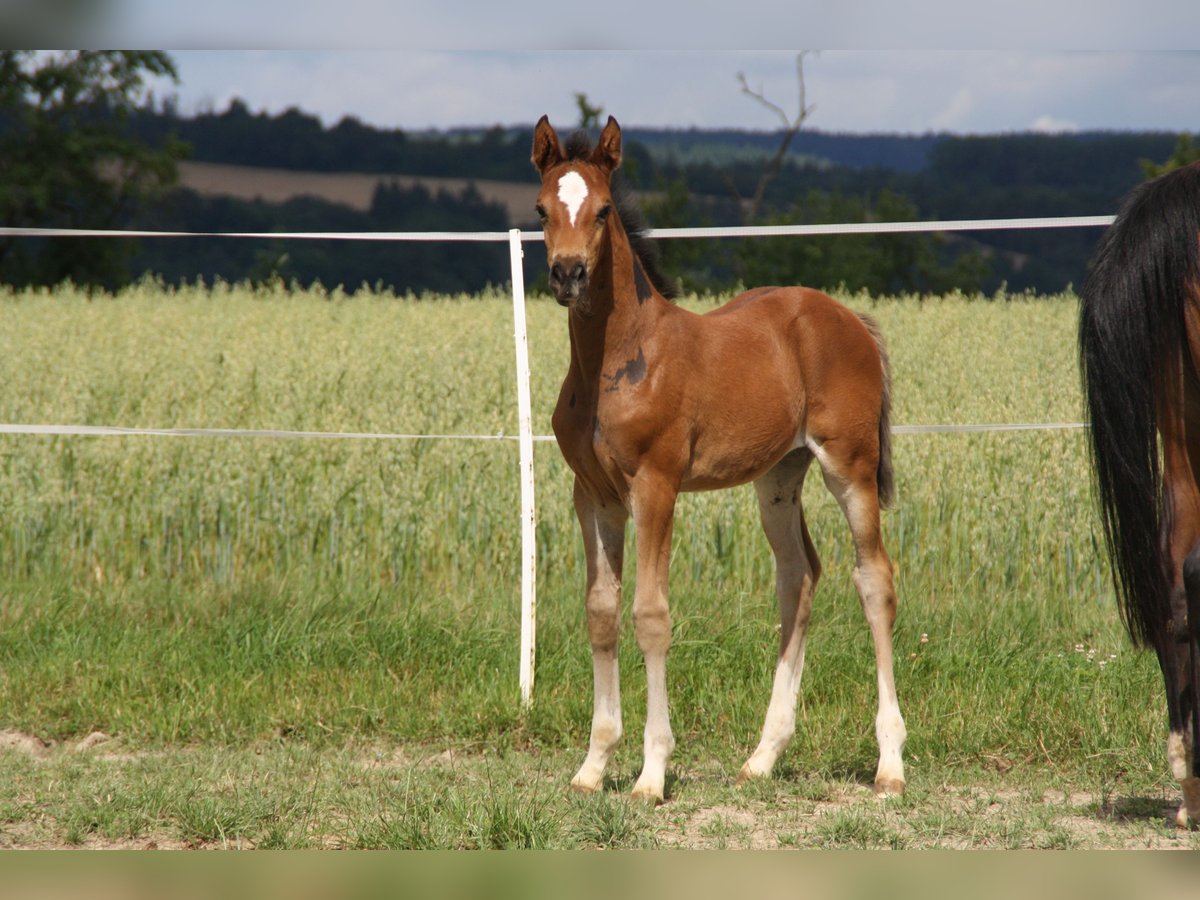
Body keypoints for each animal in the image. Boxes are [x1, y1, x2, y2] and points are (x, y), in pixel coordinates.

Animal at [530, 116, 902, 806]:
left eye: (602, 210)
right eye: (542, 209)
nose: (568, 274)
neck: (616, 360)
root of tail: (850, 318)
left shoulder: (656, 485)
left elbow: (650, 614)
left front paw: (651, 774)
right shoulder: (592, 494)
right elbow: (601, 612)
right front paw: (593, 766)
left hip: (850, 466)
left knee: (874, 579)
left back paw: (889, 762)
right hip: (779, 477)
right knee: (799, 576)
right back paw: (763, 758)